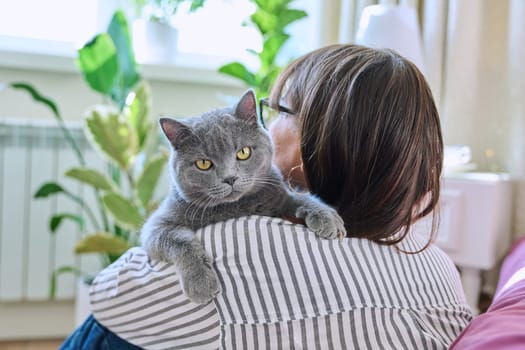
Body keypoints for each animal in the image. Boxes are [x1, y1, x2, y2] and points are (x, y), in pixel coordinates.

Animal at [140, 89, 344, 304]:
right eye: (203, 164)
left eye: (243, 152)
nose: (230, 178)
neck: (236, 208)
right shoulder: (156, 225)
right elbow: (179, 240)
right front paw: (200, 282)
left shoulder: (278, 194)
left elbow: (301, 198)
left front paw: (327, 218)